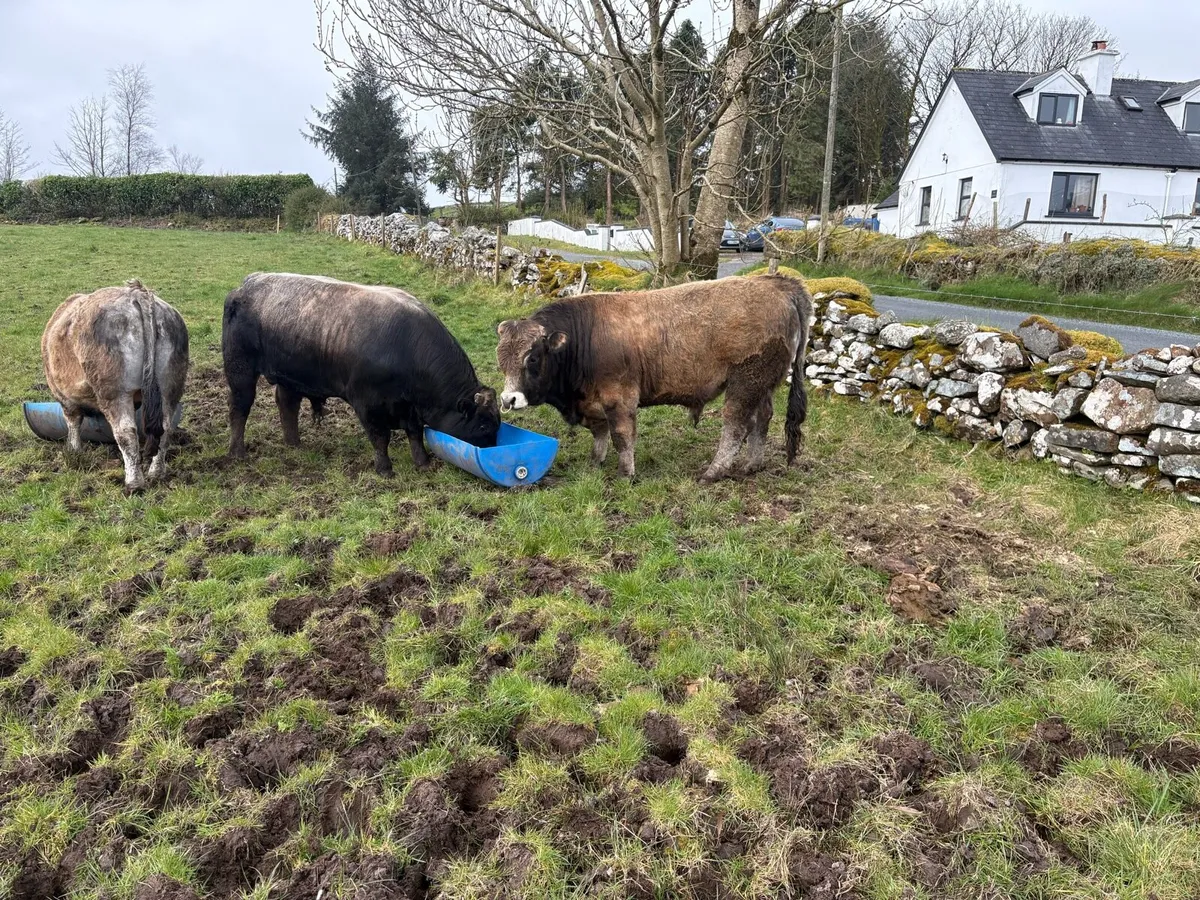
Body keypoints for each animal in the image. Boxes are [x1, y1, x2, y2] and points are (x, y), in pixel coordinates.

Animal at [41, 279, 190, 493]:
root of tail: (136, 294)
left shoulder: (64, 398)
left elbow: (73, 422)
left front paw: (74, 451)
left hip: (115, 392)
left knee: (126, 433)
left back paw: (134, 483)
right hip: (170, 387)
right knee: (166, 428)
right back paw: (156, 473)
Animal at [221, 273, 500, 475]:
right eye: (483, 424)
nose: (493, 449)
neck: (405, 348)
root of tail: (245, 286)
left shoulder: (410, 409)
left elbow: (415, 434)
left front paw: (422, 462)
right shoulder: (367, 405)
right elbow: (381, 438)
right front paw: (385, 469)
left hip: (289, 376)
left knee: (287, 406)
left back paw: (294, 444)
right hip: (240, 372)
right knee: (239, 408)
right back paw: (237, 452)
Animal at [495, 275, 812, 482]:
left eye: (532, 358)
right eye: (501, 360)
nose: (508, 399)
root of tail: (776, 283)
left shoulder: (620, 398)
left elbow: (621, 436)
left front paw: (626, 474)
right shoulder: (594, 402)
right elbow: (599, 433)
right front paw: (595, 463)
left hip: (745, 382)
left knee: (736, 426)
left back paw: (713, 472)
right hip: (763, 383)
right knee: (763, 418)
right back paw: (753, 464)